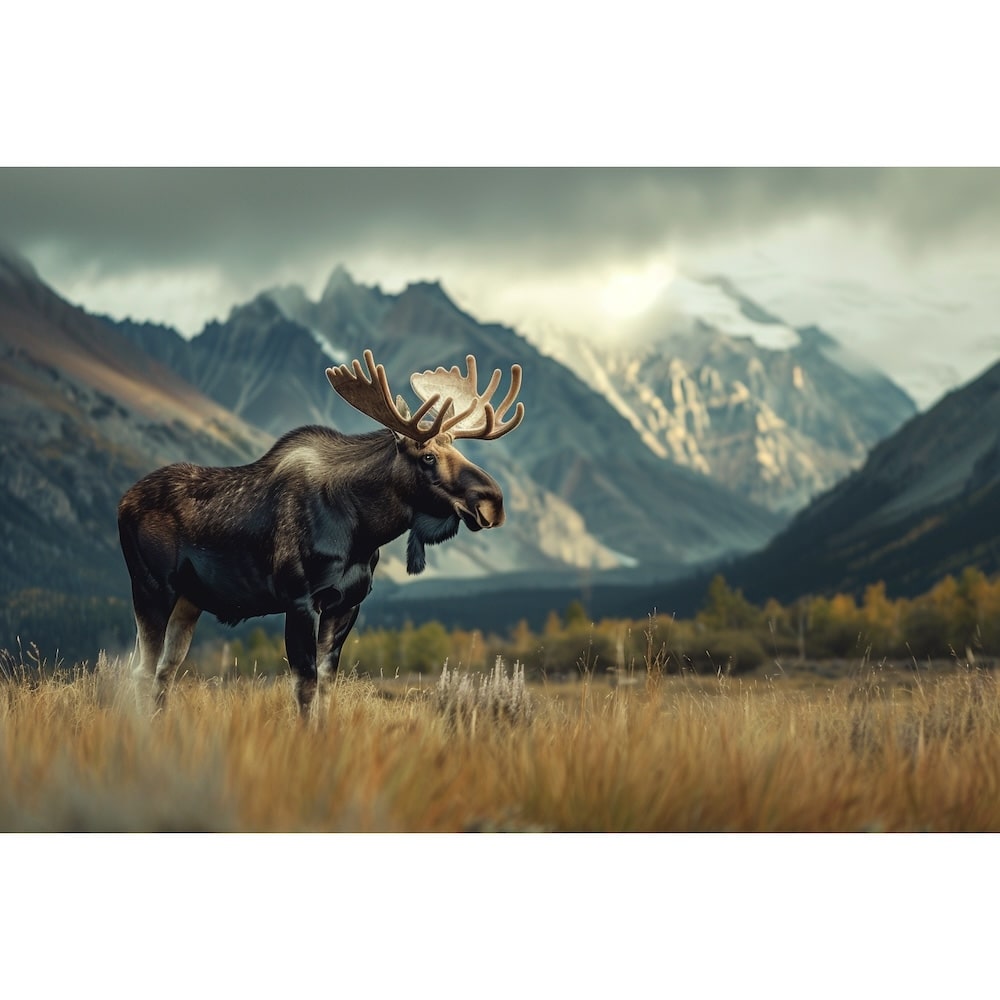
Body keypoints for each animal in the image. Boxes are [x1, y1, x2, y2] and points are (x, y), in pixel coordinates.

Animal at [117, 350, 524, 717]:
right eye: (427, 457)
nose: (493, 502)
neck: (364, 532)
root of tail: (122, 502)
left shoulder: (346, 604)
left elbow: (327, 683)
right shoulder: (300, 599)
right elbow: (305, 684)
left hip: (190, 600)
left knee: (165, 671)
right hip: (152, 586)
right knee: (142, 670)